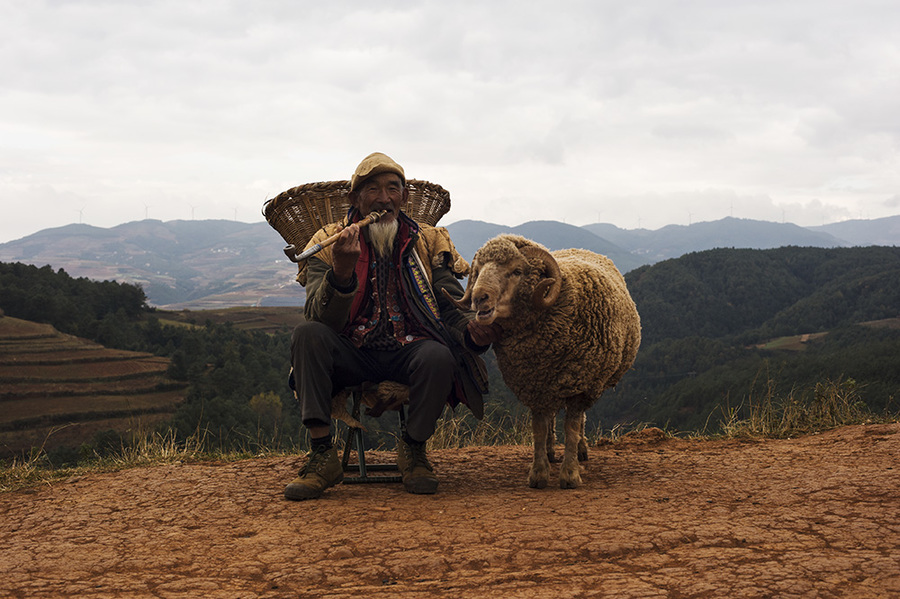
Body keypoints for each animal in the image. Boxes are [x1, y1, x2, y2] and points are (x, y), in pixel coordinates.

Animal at [442, 232, 640, 490]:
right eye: (478, 270)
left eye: (517, 271)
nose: (479, 297)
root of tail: (581, 248)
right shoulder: (534, 384)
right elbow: (538, 427)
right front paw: (538, 473)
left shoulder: (580, 385)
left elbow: (572, 427)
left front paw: (570, 474)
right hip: (552, 384)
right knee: (551, 417)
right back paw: (549, 451)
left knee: (580, 419)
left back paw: (580, 450)